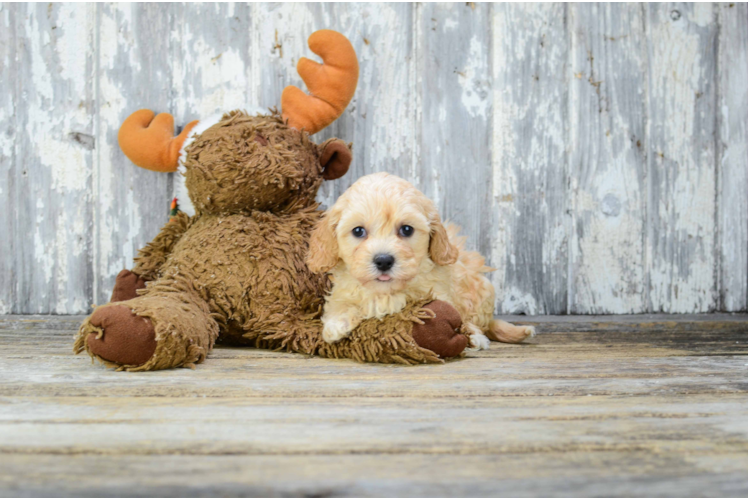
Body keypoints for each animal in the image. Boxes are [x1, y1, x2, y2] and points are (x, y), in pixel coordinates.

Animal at [306, 174, 536, 350]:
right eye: (358, 231)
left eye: (406, 229)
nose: (383, 261)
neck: (387, 292)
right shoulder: (343, 289)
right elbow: (341, 302)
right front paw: (337, 324)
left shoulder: (443, 294)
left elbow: (456, 315)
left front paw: (470, 335)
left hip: (479, 292)